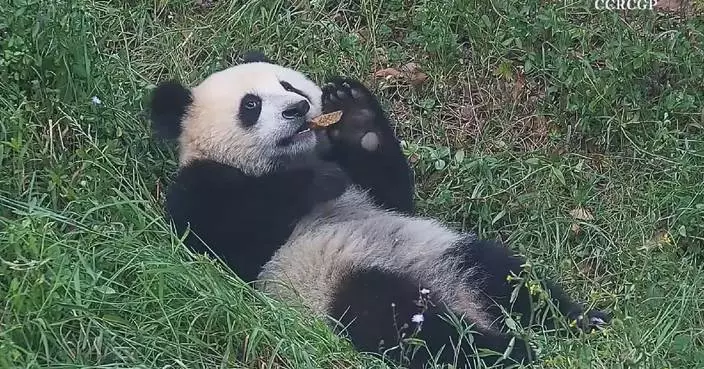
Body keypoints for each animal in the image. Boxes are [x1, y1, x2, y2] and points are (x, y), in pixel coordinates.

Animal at [150, 51, 612, 368]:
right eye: (251, 105)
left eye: (289, 86)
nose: (297, 109)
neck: (289, 160)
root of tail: (457, 295)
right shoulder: (201, 192)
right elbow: (226, 238)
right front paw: (317, 182)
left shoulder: (373, 192)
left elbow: (392, 194)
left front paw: (356, 115)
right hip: (337, 285)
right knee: (417, 329)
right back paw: (512, 352)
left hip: (442, 248)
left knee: (509, 279)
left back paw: (583, 323)